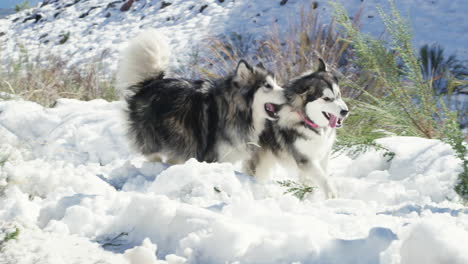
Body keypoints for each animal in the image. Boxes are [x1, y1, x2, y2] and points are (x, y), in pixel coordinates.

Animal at [117, 29, 286, 165]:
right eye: (267, 86)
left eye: (276, 83)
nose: (288, 93)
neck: (237, 110)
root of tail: (150, 83)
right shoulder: (213, 158)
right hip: (152, 142)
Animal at [245, 59, 348, 198]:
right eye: (326, 99)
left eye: (338, 94)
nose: (345, 111)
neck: (306, 120)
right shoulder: (305, 160)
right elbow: (323, 178)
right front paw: (332, 195)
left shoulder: (323, 154)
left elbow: (316, 177)